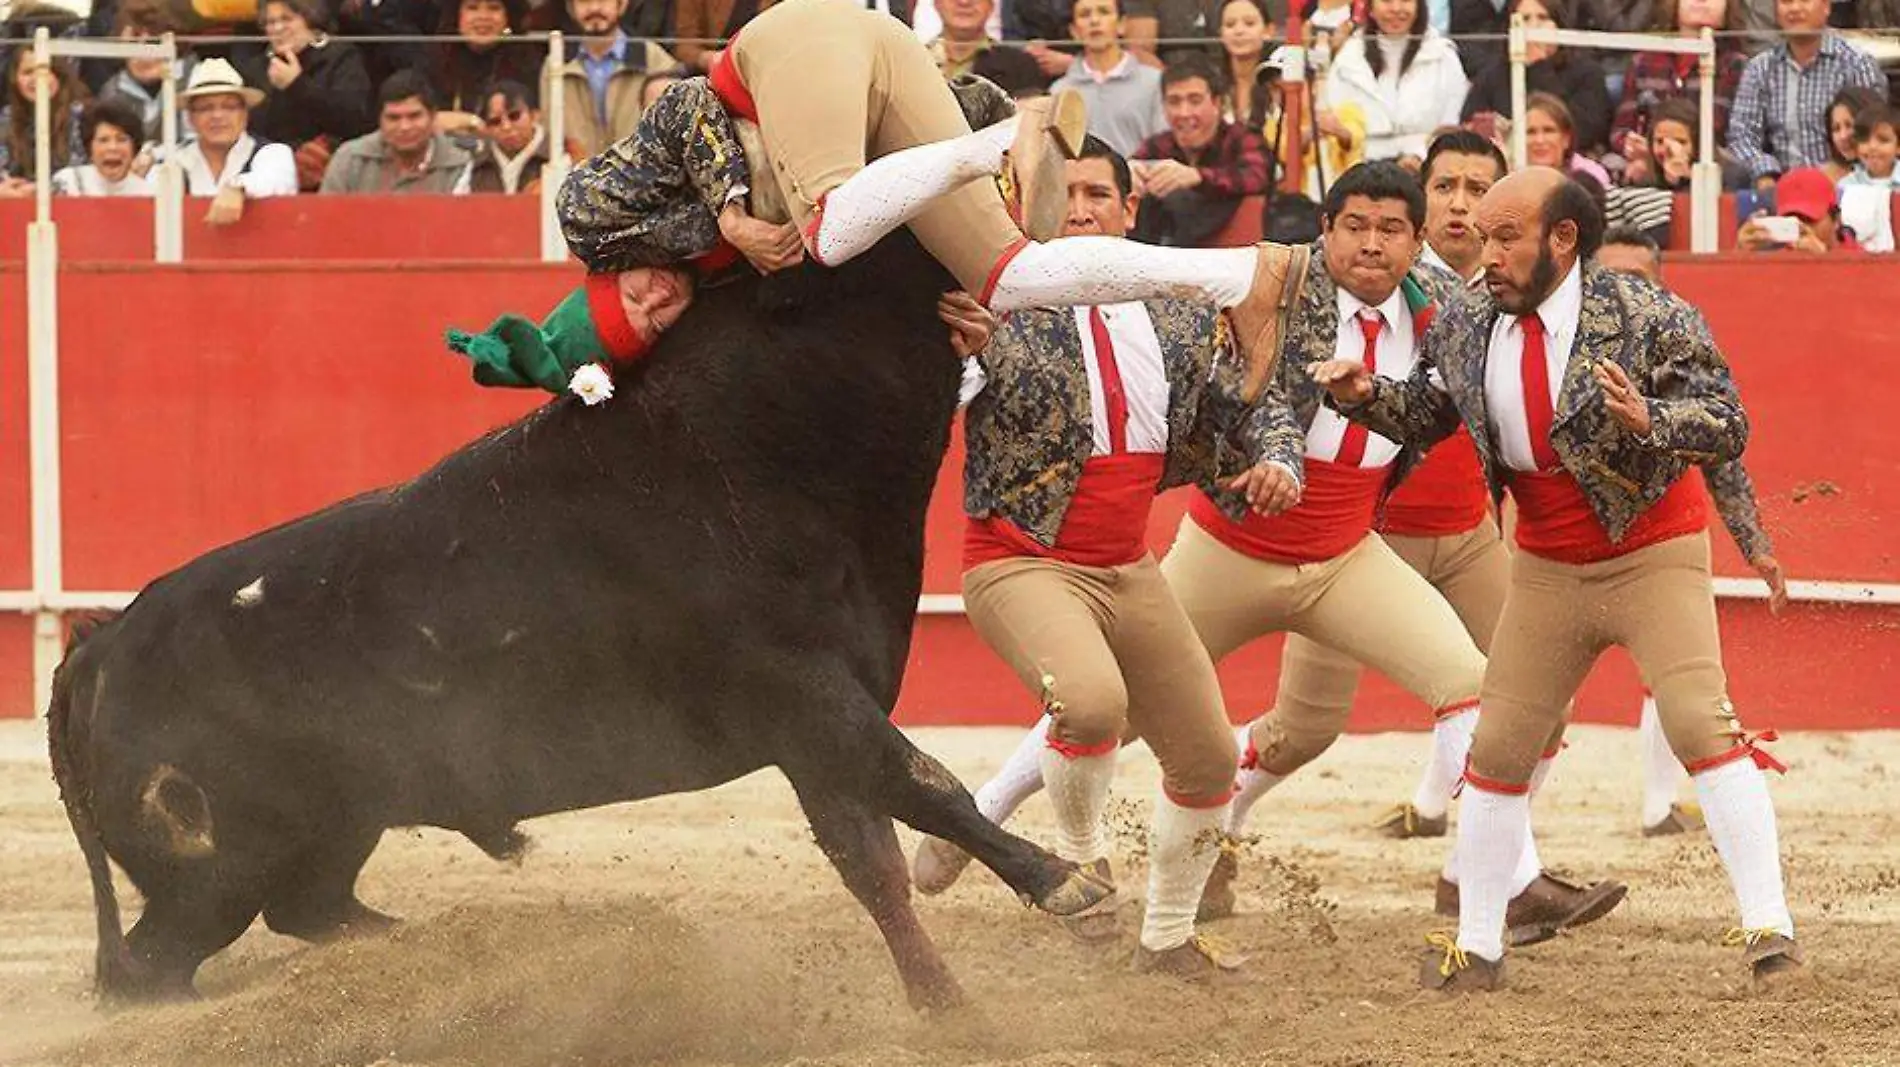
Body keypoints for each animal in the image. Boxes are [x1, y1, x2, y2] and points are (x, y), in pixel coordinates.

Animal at [44, 236, 1109, 1010]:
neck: (753, 440)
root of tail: (102, 644)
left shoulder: (818, 730)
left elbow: (875, 860)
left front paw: (945, 1008)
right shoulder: (802, 697)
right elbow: (924, 785)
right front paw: (1067, 886)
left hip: (338, 817)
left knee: (310, 909)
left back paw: (430, 958)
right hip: (216, 865)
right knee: (154, 966)